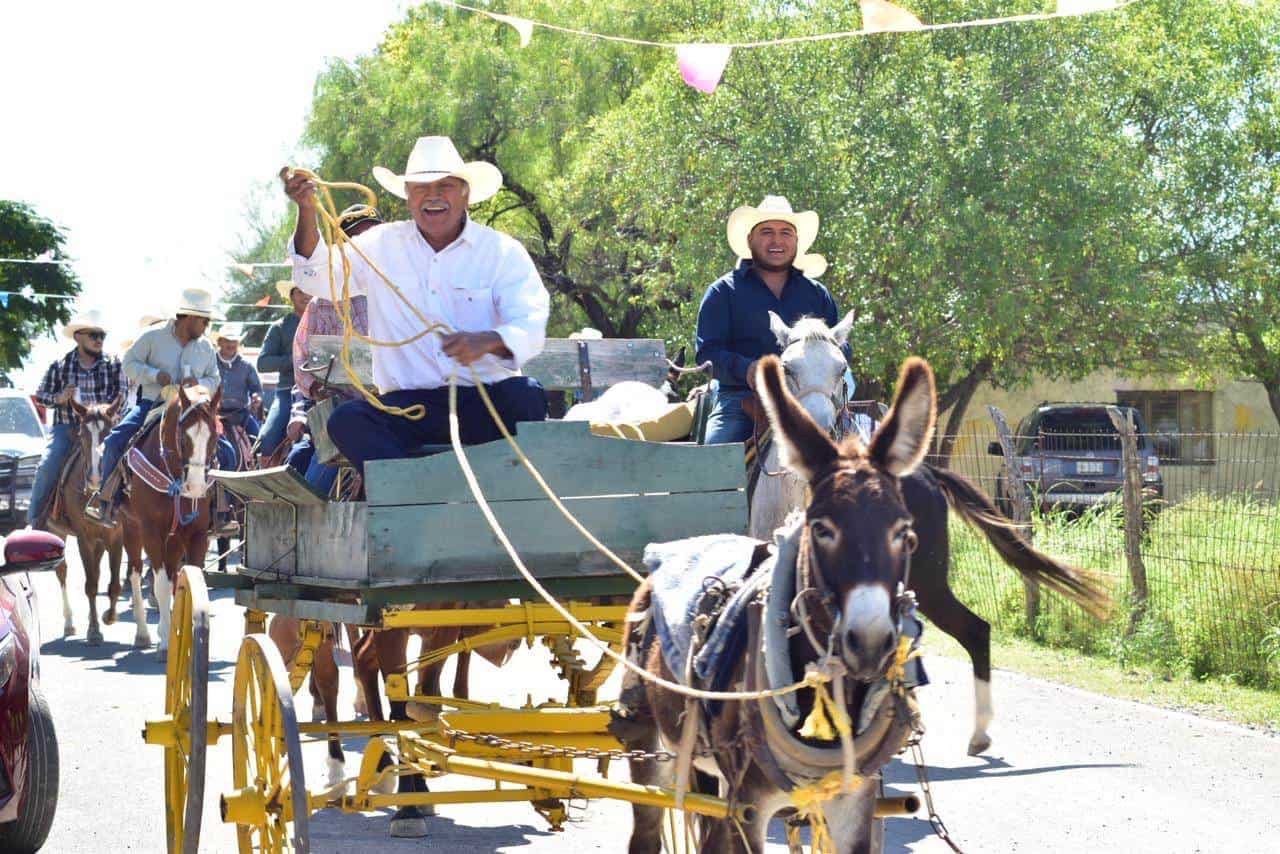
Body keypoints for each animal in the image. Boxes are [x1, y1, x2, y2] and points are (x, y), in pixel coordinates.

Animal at [52, 396, 124, 645]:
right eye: (82, 434)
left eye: (110, 432)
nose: (94, 477)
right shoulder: (85, 538)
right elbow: (91, 584)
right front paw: (93, 630)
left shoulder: (116, 535)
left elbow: (114, 584)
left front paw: (109, 616)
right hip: (57, 534)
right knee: (61, 570)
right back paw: (69, 623)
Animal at [120, 384, 222, 660]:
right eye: (184, 438)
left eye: (214, 437)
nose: (196, 488)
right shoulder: (151, 533)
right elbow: (161, 586)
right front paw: (165, 640)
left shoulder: (197, 534)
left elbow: (190, 582)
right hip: (131, 529)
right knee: (135, 573)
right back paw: (143, 634)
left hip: (175, 539)